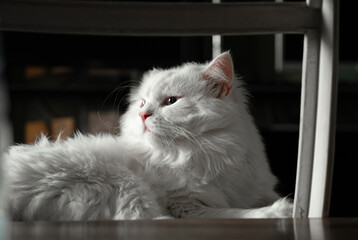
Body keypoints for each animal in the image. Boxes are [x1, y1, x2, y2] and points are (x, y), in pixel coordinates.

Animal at [2, 51, 292, 220]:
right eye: (142, 103)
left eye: (171, 101)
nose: (143, 115)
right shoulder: (187, 206)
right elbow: (238, 212)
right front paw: (281, 210)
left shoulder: (255, 187)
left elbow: (265, 197)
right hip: (126, 184)